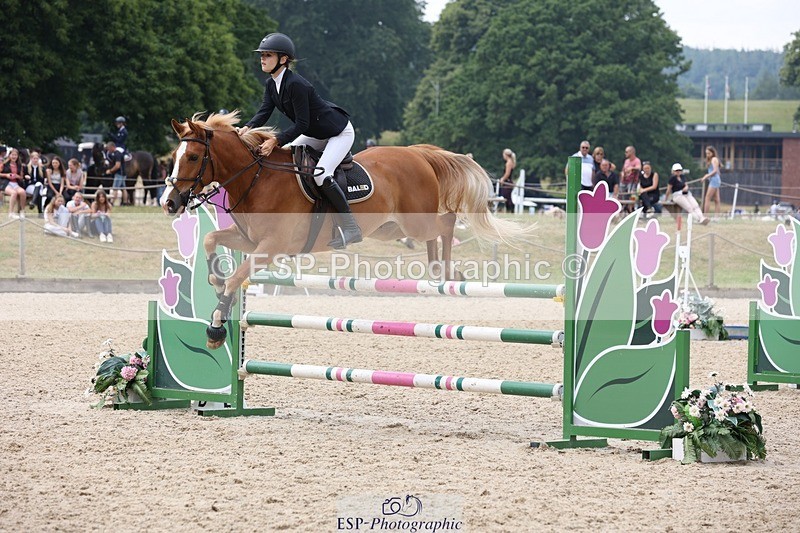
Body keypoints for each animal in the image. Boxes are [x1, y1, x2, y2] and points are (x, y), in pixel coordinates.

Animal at [162, 112, 533, 349]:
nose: (169, 202)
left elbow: (238, 278)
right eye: (174, 155)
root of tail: (419, 153)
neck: (258, 179)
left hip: (415, 220)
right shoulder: (249, 240)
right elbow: (211, 240)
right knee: (433, 233)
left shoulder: (271, 247)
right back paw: (438, 272)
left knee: (446, 221)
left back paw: (447, 270)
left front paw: (216, 327)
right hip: (389, 228)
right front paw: (215, 278)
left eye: (193, 157)